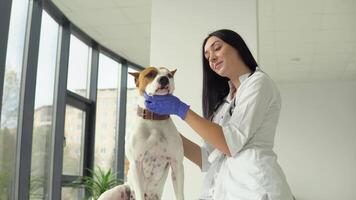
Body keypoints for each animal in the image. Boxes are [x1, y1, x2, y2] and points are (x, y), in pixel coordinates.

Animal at [98, 67, 185, 200]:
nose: (164, 79)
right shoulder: (137, 163)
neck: (154, 120)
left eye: (169, 75)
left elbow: (180, 193)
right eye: (150, 74)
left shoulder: (177, 164)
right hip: (116, 191)